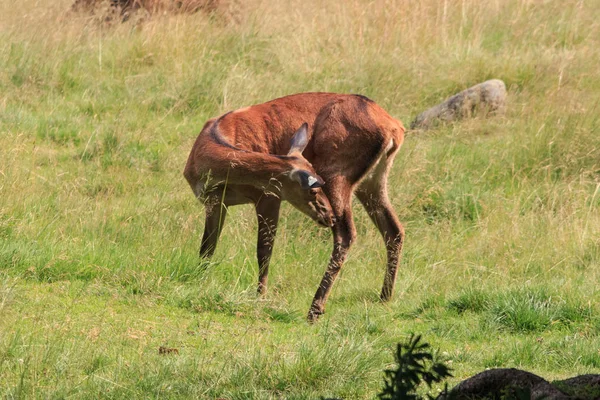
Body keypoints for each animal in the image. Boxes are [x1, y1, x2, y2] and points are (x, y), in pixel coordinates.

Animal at [184, 91, 408, 322]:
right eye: (313, 190)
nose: (328, 216)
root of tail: (394, 128)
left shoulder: (269, 197)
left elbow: (264, 250)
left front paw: (260, 296)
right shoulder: (215, 202)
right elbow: (207, 246)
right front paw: (200, 279)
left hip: (338, 174)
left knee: (346, 235)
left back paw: (315, 309)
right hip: (373, 181)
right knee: (394, 230)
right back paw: (384, 297)